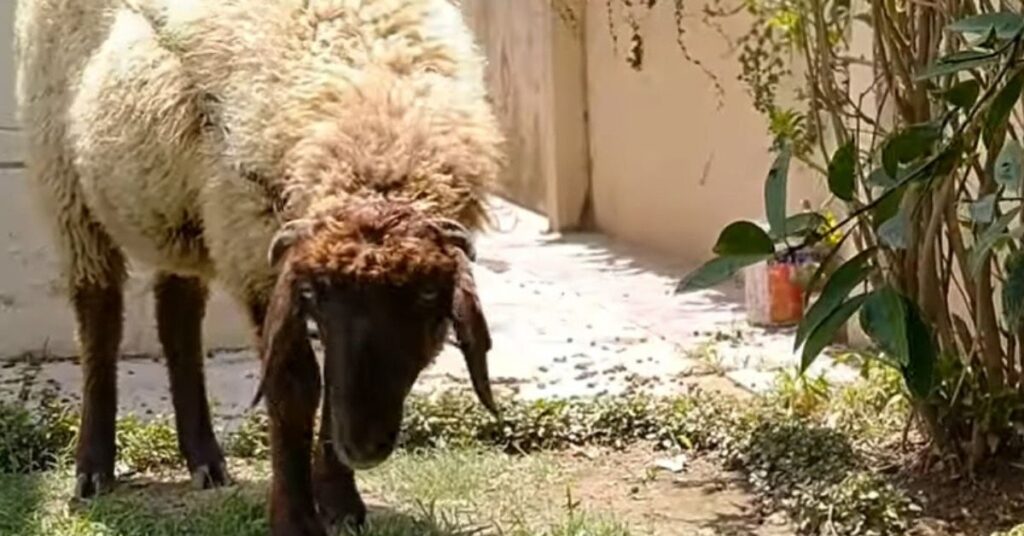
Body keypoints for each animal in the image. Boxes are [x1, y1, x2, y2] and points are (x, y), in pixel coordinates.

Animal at [18, 0, 505, 532]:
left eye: (428, 299)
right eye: (316, 294)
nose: (361, 448)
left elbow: (329, 381)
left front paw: (341, 504)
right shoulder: (257, 253)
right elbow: (295, 388)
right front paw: (296, 517)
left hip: (177, 210)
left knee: (177, 319)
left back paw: (204, 459)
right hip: (66, 184)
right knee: (99, 321)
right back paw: (93, 469)